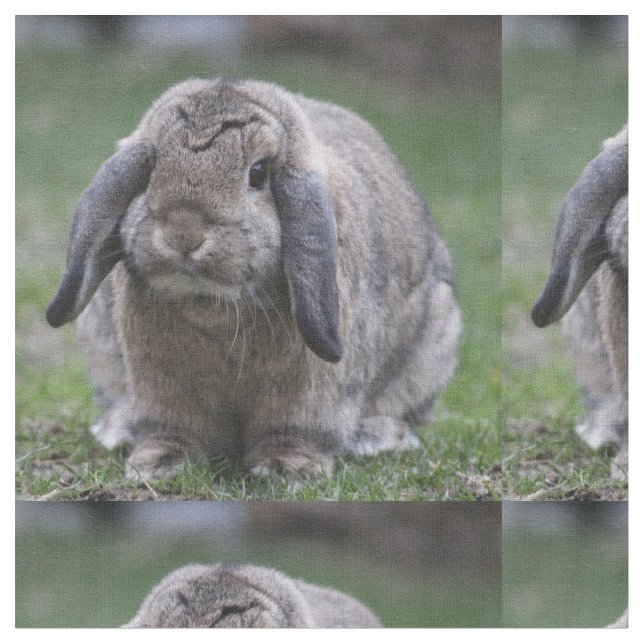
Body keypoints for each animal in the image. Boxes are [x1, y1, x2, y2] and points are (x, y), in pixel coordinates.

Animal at [45, 78, 461, 479]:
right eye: (150, 169)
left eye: (258, 173)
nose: (184, 232)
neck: (213, 303)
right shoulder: (161, 390)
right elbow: (171, 428)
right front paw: (158, 464)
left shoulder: (308, 396)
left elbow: (295, 430)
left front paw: (287, 469)